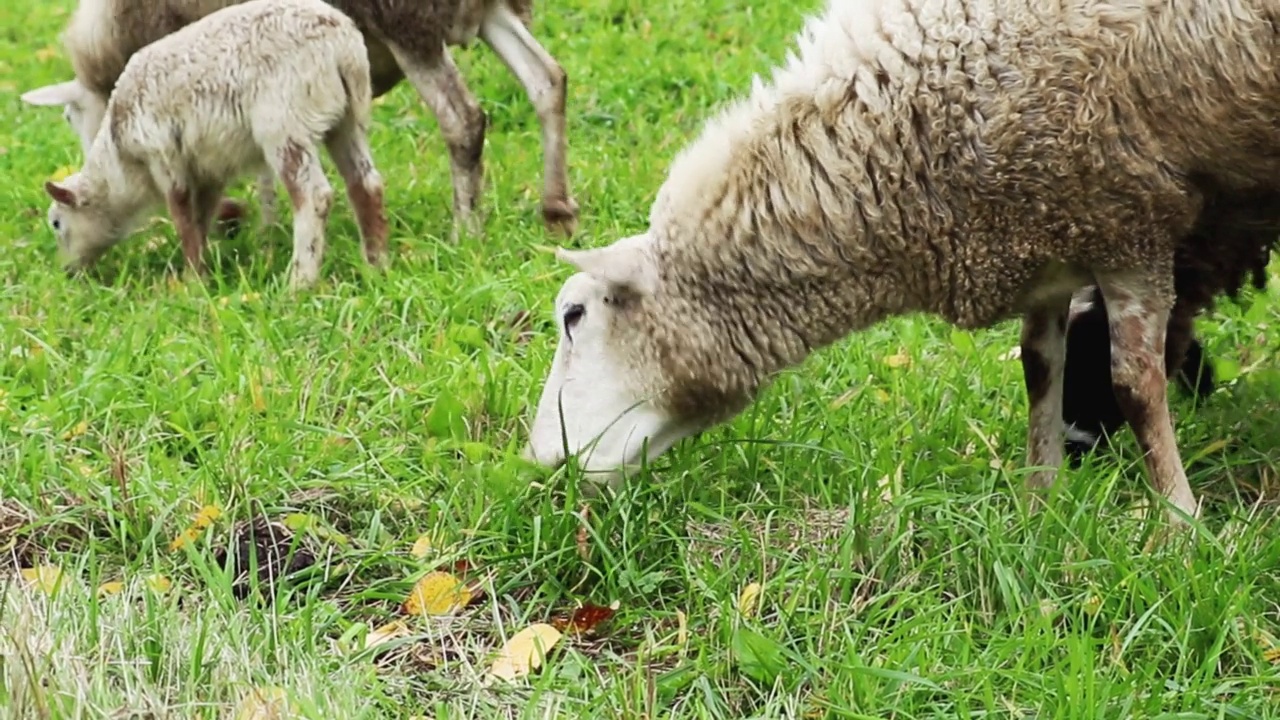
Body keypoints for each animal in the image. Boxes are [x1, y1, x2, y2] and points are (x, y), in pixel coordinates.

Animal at [20, 0, 578, 240]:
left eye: (71, 118)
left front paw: (257, 224)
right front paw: (266, 225)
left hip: (406, 19)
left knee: (463, 120)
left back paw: (466, 231)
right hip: (485, 11)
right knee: (547, 81)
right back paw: (557, 209)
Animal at [42, 0, 386, 286]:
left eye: (57, 224)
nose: (67, 272)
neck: (120, 160)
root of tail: (339, 43)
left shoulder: (162, 155)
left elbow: (182, 215)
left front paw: (194, 281)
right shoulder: (207, 170)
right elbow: (200, 218)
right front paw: (201, 269)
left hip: (284, 123)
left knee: (313, 197)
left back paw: (300, 283)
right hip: (347, 118)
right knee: (366, 185)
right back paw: (376, 264)